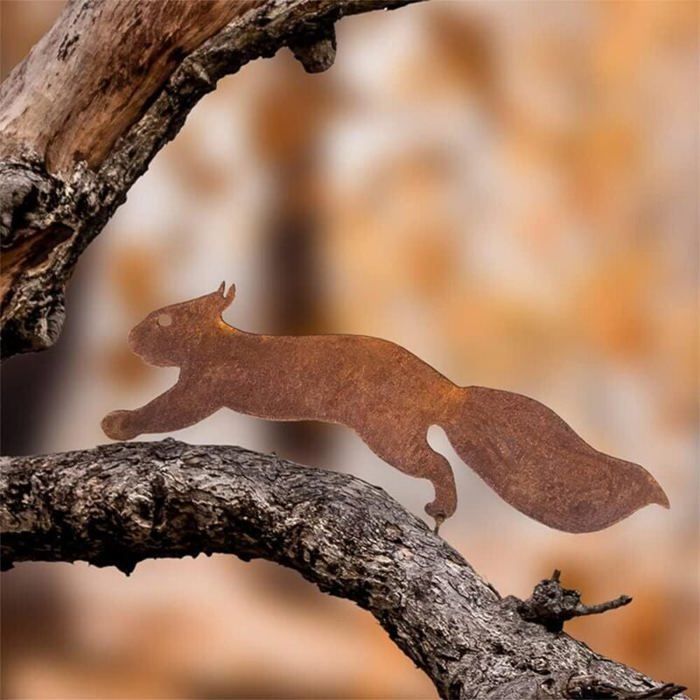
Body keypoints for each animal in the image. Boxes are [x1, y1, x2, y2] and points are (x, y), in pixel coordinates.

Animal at [102, 283, 669, 532]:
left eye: (164, 321)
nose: (129, 337)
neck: (220, 341)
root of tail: (447, 390)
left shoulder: (204, 386)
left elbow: (165, 411)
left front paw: (117, 422)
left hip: (388, 433)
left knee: (437, 463)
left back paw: (440, 509)